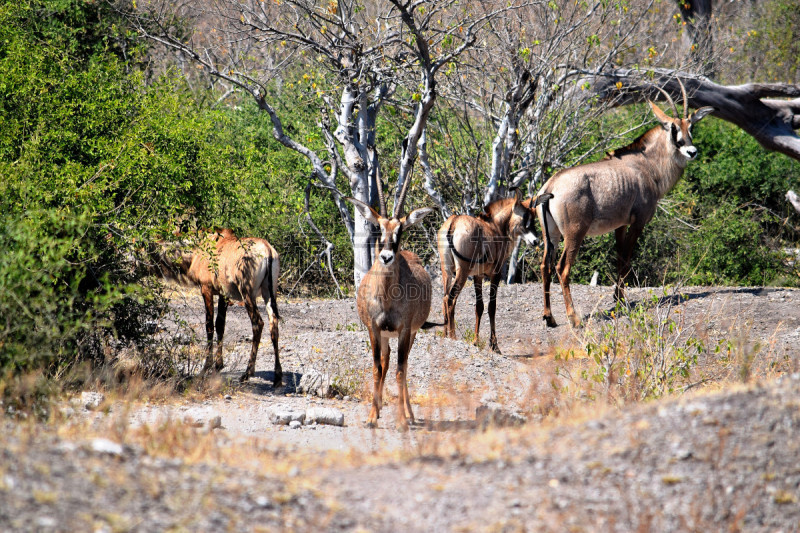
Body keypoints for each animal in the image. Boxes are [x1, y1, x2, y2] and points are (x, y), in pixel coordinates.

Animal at [150, 228, 282, 382]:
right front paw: (218, 365)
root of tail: (267, 250)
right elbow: (220, 325)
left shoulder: (206, 289)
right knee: (274, 324)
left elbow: (209, 325)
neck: (200, 246)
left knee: (258, 323)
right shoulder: (223, 294)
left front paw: (206, 367)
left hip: (248, 294)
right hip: (269, 294)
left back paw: (247, 372)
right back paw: (277, 376)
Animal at [344, 164, 432, 430]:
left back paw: (410, 414)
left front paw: (402, 418)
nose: (385, 256)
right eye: (379, 227)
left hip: (411, 334)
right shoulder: (373, 328)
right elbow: (377, 368)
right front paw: (372, 416)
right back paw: (381, 407)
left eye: (400, 230)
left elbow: (400, 370)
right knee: (386, 360)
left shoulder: (404, 330)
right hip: (384, 335)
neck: (386, 299)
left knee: (403, 364)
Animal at [434, 189, 552, 352]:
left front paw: (476, 341)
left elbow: (479, 306)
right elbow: (492, 307)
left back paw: (445, 334)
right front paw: (494, 346)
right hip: (462, 271)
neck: (496, 226)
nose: (535, 241)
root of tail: (454, 222)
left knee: (445, 297)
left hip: (447, 269)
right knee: (451, 298)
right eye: (525, 217)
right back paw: (453, 336)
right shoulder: (495, 274)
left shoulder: (477, 276)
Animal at [536, 82, 712, 328]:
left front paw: (617, 297)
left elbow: (619, 257)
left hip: (549, 235)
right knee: (562, 268)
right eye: (673, 128)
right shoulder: (639, 221)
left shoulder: (619, 225)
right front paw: (620, 301)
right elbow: (627, 258)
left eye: (691, 126)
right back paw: (573, 318)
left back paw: (549, 317)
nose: (691, 151)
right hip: (574, 234)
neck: (647, 165)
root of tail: (551, 186)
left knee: (545, 266)